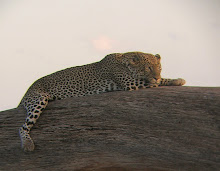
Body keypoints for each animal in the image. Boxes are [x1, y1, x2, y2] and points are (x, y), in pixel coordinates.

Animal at [17, 51, 186, 152]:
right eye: (148, 68)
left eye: (159, 68)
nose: (157, 76)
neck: (125, 61)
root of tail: (26, 93)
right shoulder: (130, 83)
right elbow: (156, 82)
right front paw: (176, 80)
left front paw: (173, 79)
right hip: (39, 99)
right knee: (22, 127)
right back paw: (27, 144)